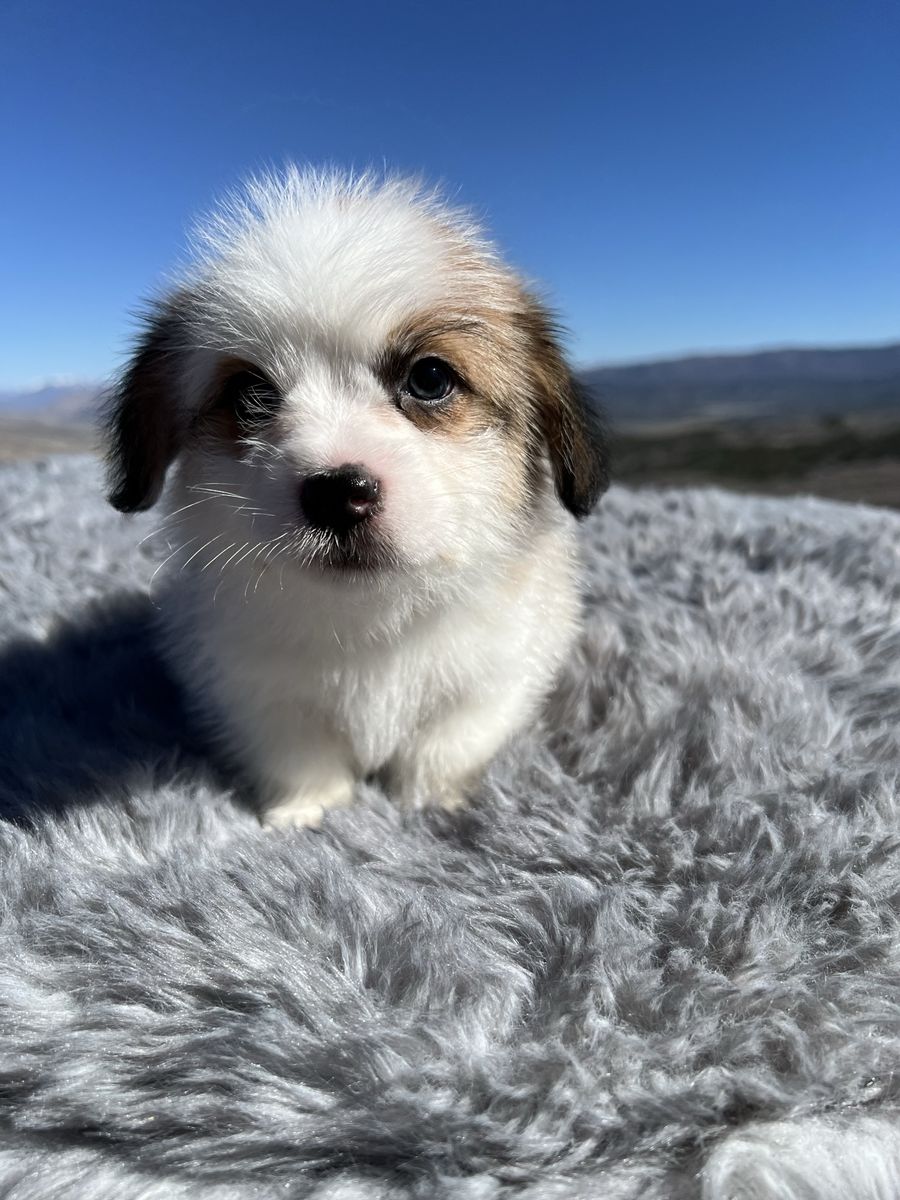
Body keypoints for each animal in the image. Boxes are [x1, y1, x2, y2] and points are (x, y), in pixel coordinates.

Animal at [104, 169, 608, 827]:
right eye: (249, 394)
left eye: (430, 378)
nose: (339, 493)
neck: (371, 623)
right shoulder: (255, 694)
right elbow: (300, 754)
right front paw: (305, 813)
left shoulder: (491, 682)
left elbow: (443, 745)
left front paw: (427, 802)